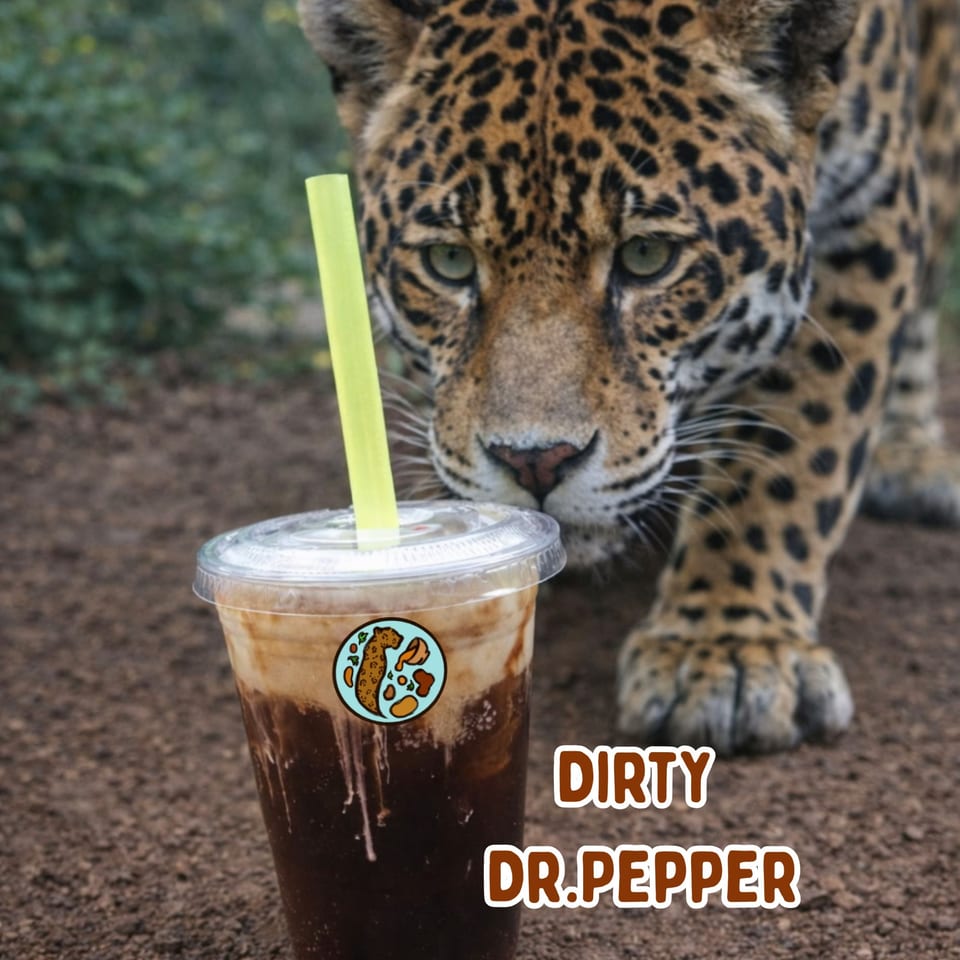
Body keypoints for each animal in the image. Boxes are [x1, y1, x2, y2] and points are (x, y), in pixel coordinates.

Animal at [299, 0, 960, 753]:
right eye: (448, 262)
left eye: (647, 257)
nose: (536, 462)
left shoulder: (871, 208)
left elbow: (790, 447)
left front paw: (729, 651)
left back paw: (910, 456)